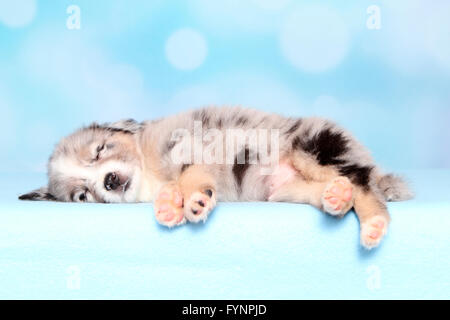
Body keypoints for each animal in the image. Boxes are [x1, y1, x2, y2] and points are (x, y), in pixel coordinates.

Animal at [19, 106, 414, 249]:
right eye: (82, 195)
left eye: (101, 151)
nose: (111, 181)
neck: (149, 170)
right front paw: (169, 205)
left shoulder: (192, 145)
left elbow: (190, 175)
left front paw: (192, 200)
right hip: (284, 189)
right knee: (338, 193)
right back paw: (335, 198)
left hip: (315, 147)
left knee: (366, 189)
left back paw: (373, 224)